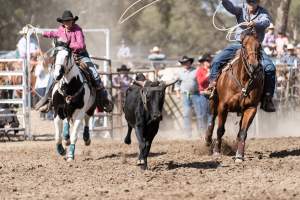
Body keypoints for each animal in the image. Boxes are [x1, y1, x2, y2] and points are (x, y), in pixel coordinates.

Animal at [205, 31, 264, 162]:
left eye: (259, 46)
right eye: (244, 46)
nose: (254, 66)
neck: (243, 80)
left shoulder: (251, 108)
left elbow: (242, 132)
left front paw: (239, 155)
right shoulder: (223, 106)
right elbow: (220, 130)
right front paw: (217, 151)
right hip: (213, 101)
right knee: (211, 119)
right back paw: (207, 140)